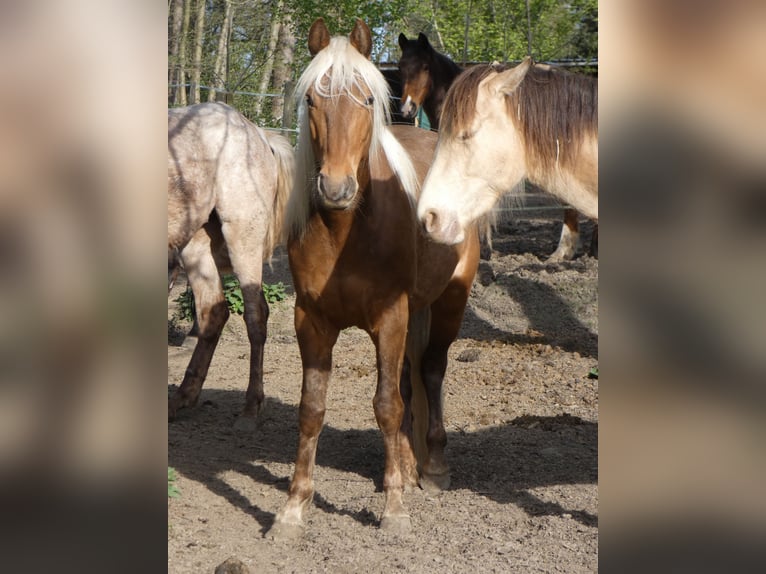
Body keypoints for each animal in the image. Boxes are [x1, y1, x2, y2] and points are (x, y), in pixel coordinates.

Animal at [167, 102, 294, 420]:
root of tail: (257, 133)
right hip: (196, 247)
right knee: (213, 312)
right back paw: (182, 398)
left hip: (242, 237)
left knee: (256, 314)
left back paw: (251, 407)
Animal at [267, 18, 480, 539]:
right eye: (311, 100)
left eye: (367, 98)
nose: (336, 188)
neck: (347, 232)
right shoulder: (312, 322)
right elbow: (312, 410)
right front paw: (293, 507)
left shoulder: (390, 317)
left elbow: (386, 406)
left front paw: (395, 510)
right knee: (408, 379)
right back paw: (405, 465)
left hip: (449, 301)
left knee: (431, 370)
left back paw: (433, 467)